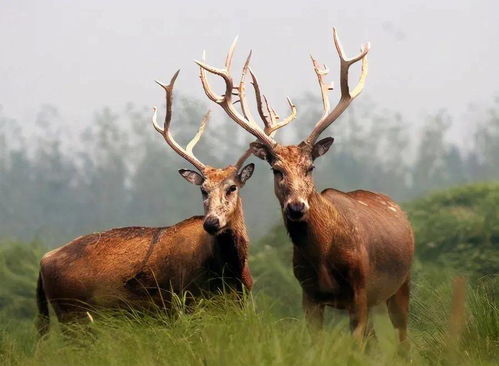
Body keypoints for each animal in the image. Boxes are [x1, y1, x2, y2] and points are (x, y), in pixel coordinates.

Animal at [35, 70, 260, 336]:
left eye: (232, 187)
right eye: (203, 190)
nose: (212, 223)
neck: (230, 272)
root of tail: (43, 262)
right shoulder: (187, 301)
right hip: (74, 314)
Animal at [194, 29, 414, 344]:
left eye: (310, 167)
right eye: (276, 170)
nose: (297, 206)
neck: (323, 257)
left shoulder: (359, 289)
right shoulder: (308, 293)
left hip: (402, 282)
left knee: (402, 335)